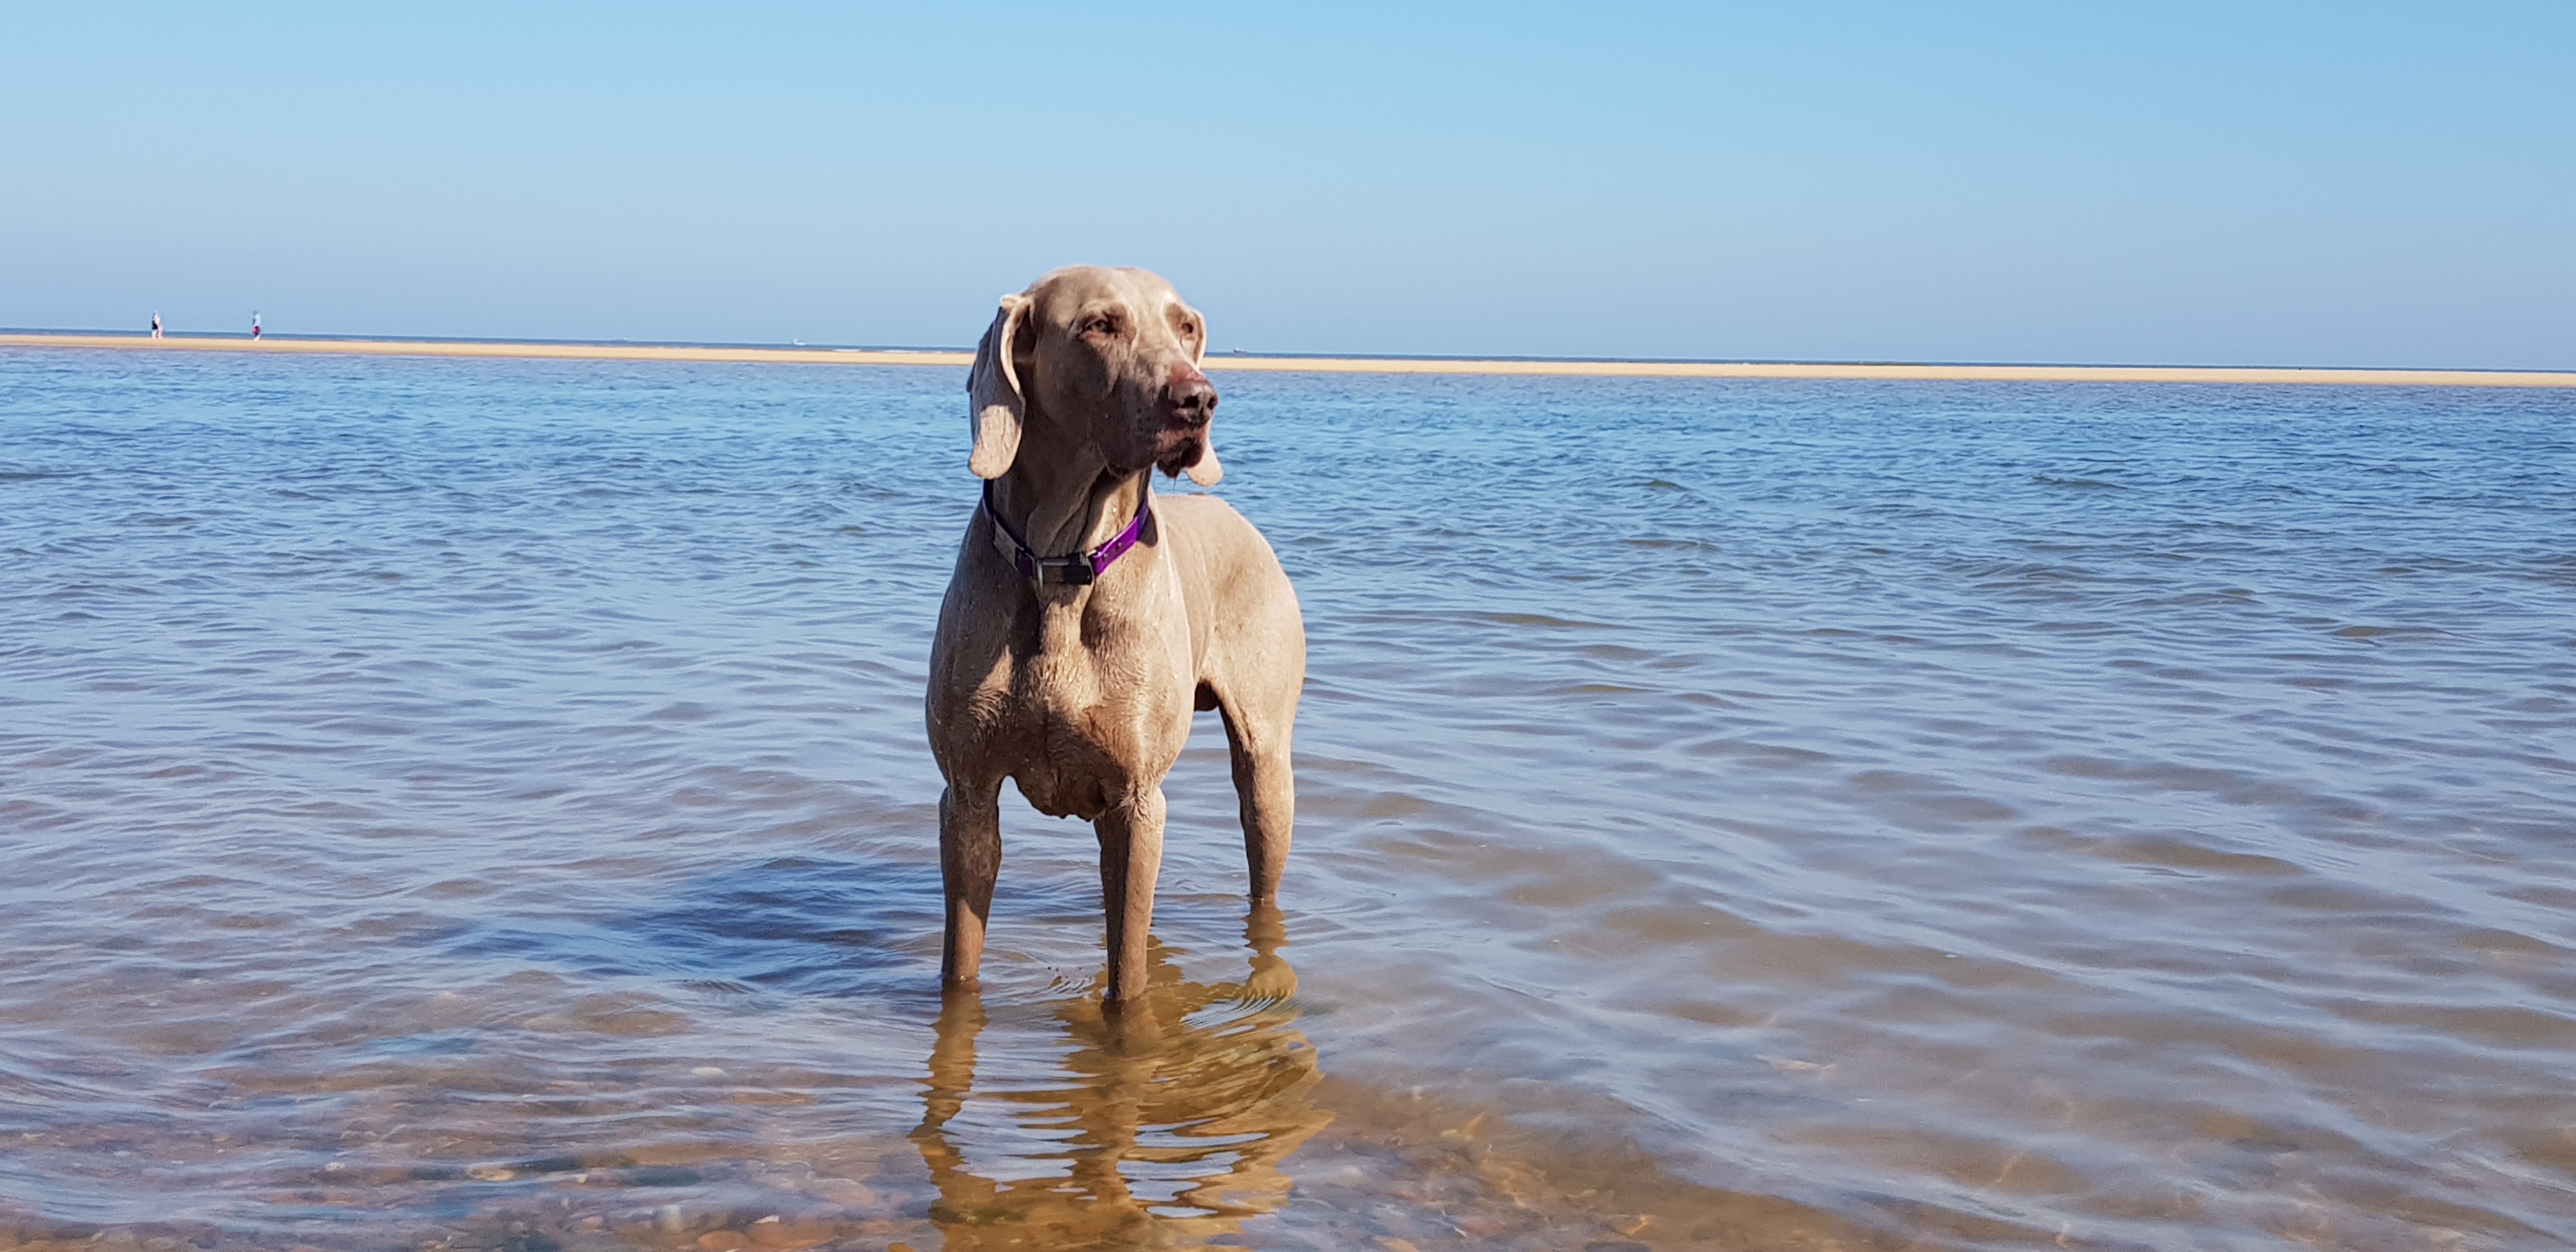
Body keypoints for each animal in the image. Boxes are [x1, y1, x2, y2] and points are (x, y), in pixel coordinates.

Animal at [927, 266, 1308, 1009]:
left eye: (1184, 326)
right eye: (1100, 325)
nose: (1198, 398)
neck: (1061, 564)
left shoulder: (1135, 803)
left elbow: (1128, 980)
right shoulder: (967, 793)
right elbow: (961, 962)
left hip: (1266, 763)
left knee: (1263, 858)